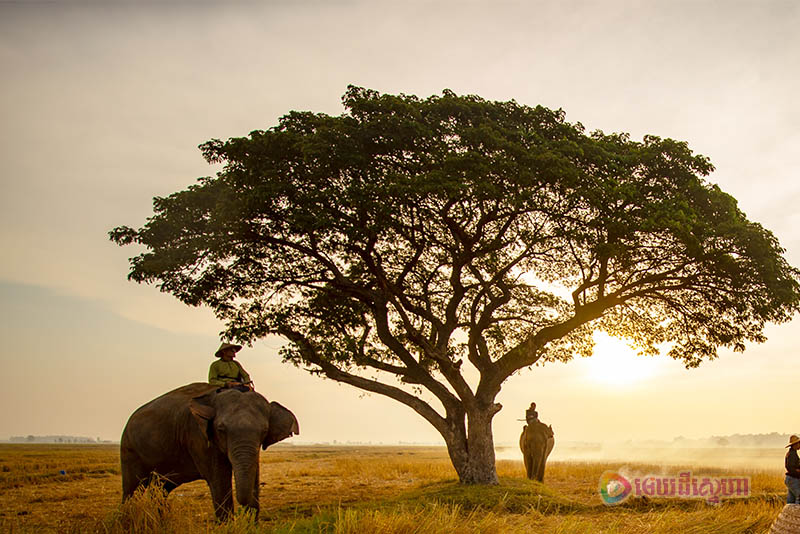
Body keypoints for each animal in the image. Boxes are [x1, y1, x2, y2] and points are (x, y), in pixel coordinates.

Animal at [122, 386, 300, 524]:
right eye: (221, 429)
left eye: (264, 430)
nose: (244, 515)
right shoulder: (198, 436)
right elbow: (219, 479)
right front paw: (228, 527)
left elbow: (253, 473)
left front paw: (251, 526)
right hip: (129, 448)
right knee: (132, 489)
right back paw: (127, 522)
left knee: (161, 488)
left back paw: (161, 523)